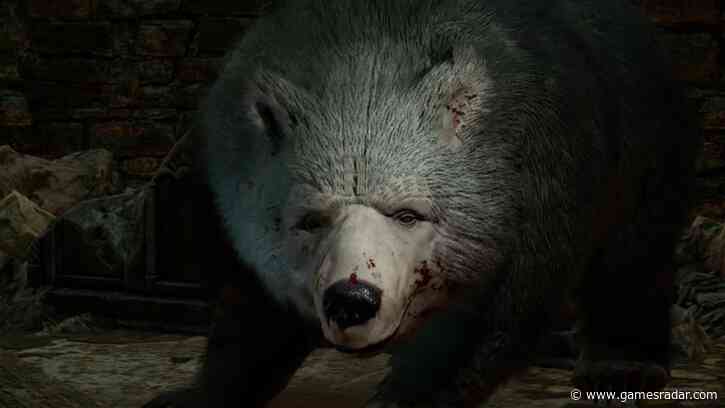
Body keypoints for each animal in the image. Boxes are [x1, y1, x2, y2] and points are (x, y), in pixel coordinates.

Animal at [144, 0, 701, 406]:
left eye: (407, 213)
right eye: (311, 220)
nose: (352, 300)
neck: (368, 57)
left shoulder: (535, 169)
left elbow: (490, 312)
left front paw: (403, 395)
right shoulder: (226, 162)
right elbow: (253, 306)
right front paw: (189, 396)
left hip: (644, 122)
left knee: (634, 248)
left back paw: (622, 364)